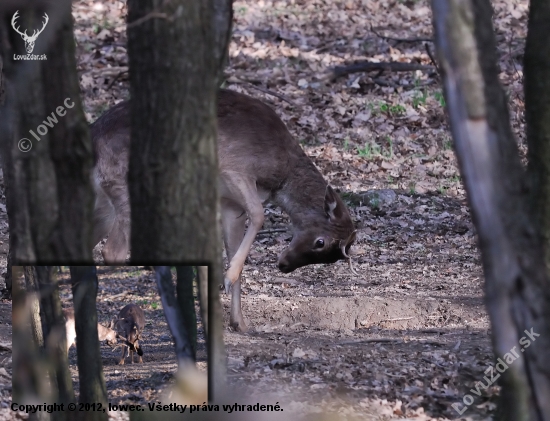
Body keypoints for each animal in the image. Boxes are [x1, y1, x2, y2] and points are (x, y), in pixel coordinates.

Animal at [90, 88, 358, 332]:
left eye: (331, 257)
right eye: (321, 242)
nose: (284, 265)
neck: (277, 176)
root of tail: (93, 143)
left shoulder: (231, 204)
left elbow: (232, 248)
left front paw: (239, 322)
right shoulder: (234, 169)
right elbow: (258, 214)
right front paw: (226, 280)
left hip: (103, 202)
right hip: (125, 186)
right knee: (112, 249)